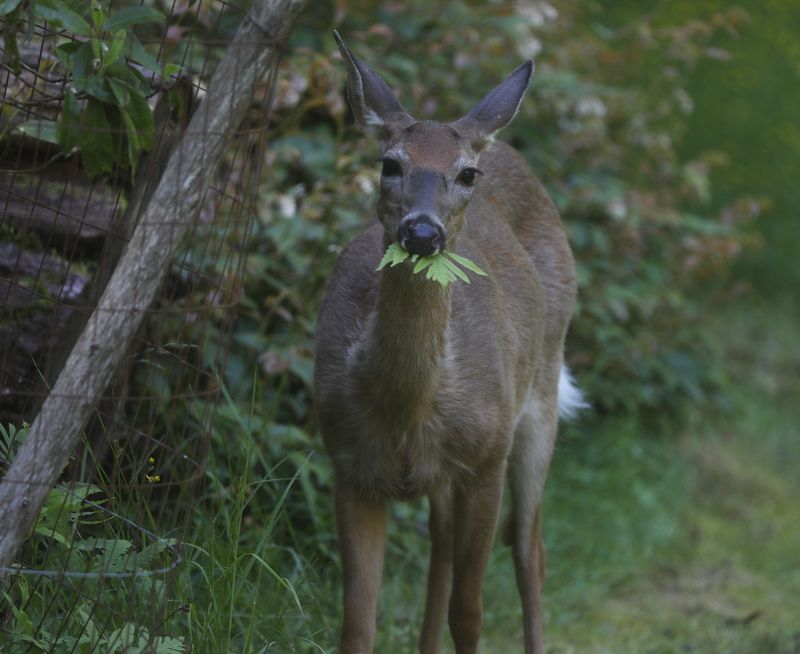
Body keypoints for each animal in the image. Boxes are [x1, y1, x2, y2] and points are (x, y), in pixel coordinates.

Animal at [314, 32, 584, 654]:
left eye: (465, 175)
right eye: (390, 163)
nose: (421, 231)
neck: (407, 408)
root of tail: (506, 149)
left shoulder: (487, 456)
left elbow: (472, 611)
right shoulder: (348, 463)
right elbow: (356, 624)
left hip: (539, 401)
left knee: (531, 549)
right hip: (444, 473)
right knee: (441, 545)